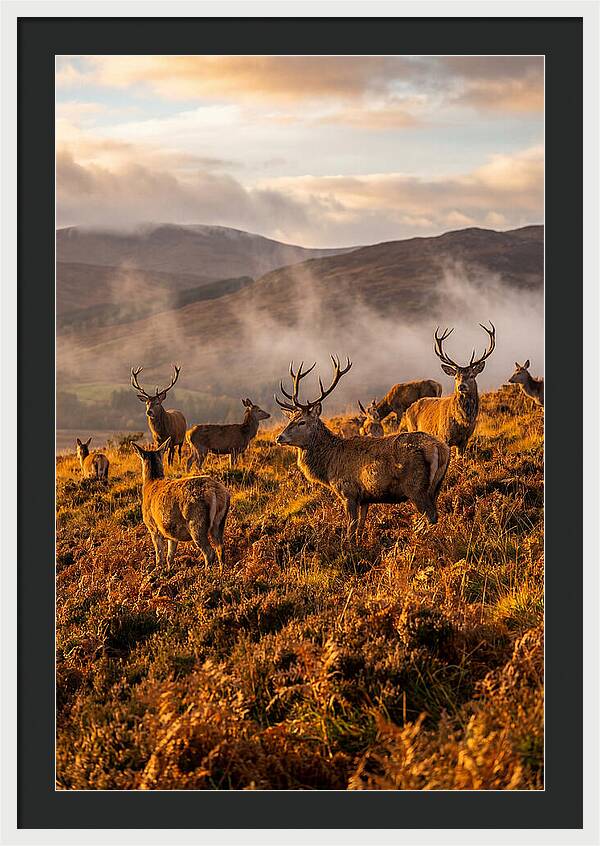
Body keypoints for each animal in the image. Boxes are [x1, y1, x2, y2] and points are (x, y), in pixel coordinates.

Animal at [132, 437, 230, 573]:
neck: (151, 483)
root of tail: (216, 492)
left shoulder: (153, 527)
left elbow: (159, 556)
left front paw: (158, 571)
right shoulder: (170, 532)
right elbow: (170, 556)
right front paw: (169, 570)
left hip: (196, 522)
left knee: (209, 552)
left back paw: (206, 573)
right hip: (219, 522)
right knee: (220, 547)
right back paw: (221, 572)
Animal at [274, 356, 450, 542]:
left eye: (302, 422)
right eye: (290, 420)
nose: (279, 437)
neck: (328, 467)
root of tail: (440, 448)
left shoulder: (348, 492)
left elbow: (351, 528)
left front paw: (348, 546)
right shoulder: (365, 498)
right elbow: (360, 526)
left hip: (416, 487)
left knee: (431, 516)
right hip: (437, 485)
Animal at [403, 323, 496, 455]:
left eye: (472, 375)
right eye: (456, 377)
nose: (461, 386)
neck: (463, 423)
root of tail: (408, 409)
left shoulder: (465, 440)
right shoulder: (444, 436)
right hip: (412, 428)